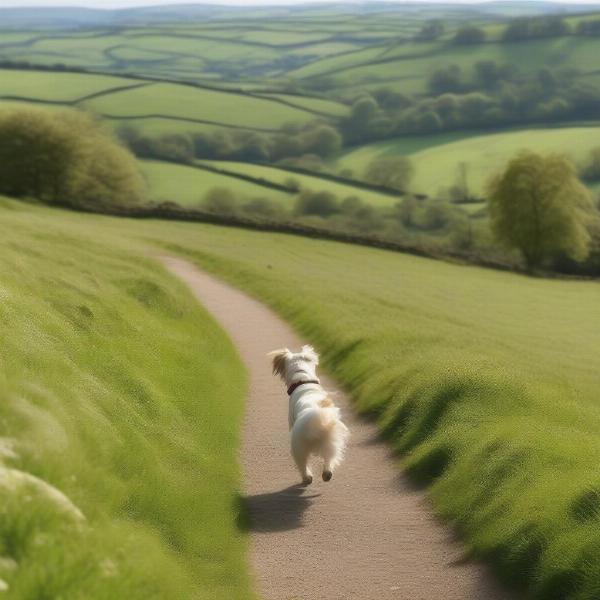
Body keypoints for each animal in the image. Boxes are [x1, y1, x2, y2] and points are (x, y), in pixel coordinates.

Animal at [270, 346, 350, 482]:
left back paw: (307, 477)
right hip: (332, 442)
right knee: (329, 460)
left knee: (302, 464)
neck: (303, 379)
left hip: (298, 447)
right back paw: (327, 474)